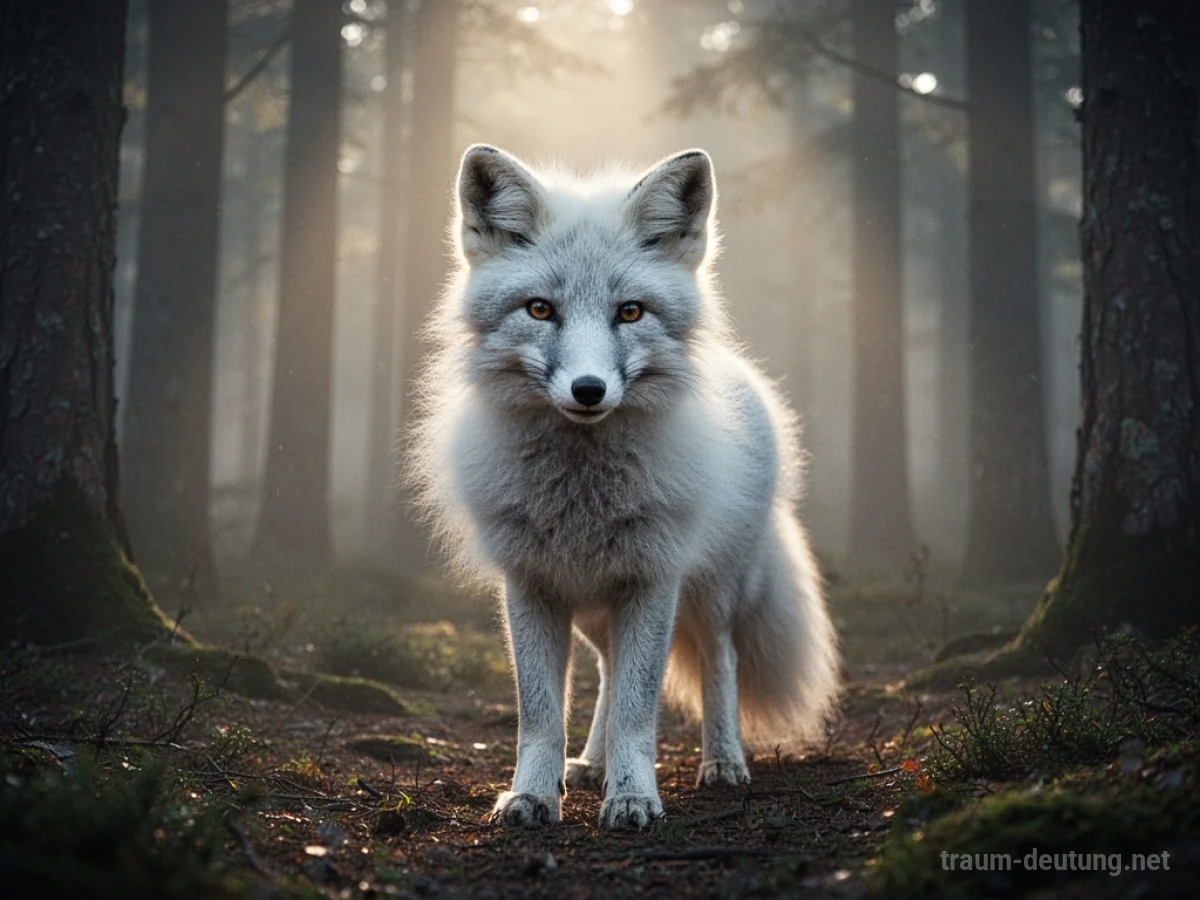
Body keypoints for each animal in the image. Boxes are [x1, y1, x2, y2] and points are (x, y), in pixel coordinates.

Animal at [408, 144, 839, 831]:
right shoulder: (530, 584)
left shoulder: (653, 580)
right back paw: (591, 763)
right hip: (595, 611)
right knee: (610, 670)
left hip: (711, 591)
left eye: (630, 311)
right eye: (540, 309)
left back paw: (722, 761)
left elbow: (640, 711)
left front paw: (634, 796)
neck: (581, 500)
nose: (588, 390)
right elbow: (541, 714)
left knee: (719, 662)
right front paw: (534, 793)